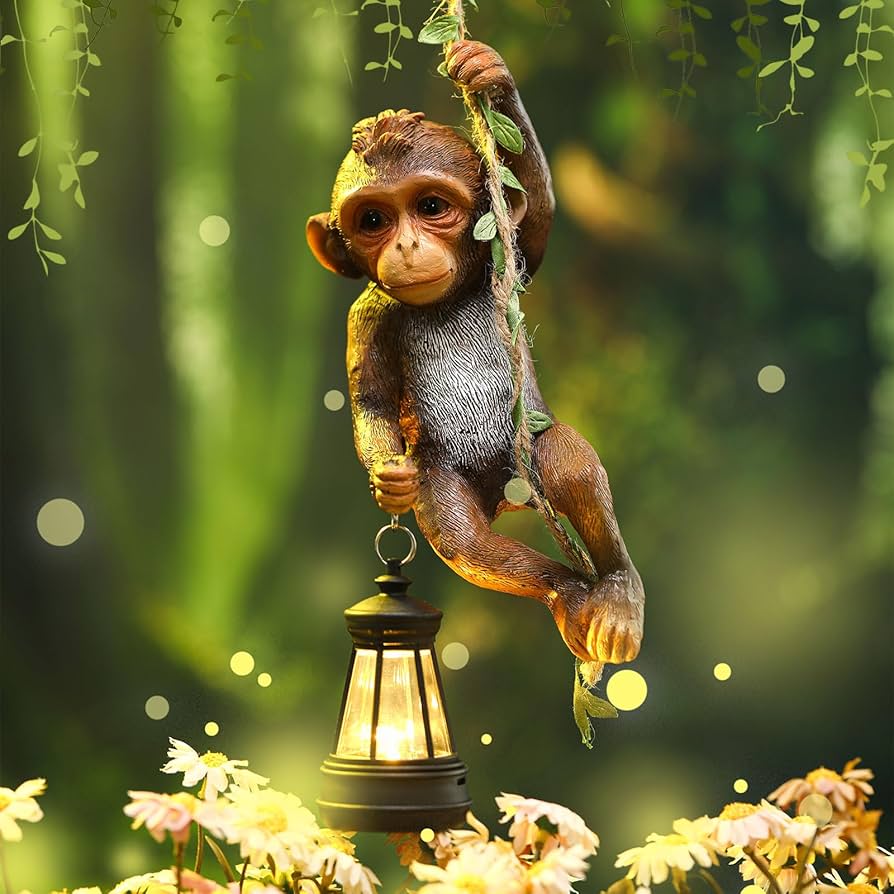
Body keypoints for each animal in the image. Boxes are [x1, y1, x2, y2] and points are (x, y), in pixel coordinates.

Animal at [306, 40, 644, 665]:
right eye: (373, 220)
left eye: (431, 207)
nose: (407, 244)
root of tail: (506, 498)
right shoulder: (366, 319)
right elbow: (371, 402)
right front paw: (388, 477)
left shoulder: (509, 264)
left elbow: (535, 213)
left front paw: (488, 72)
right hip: (449, 478)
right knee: (464, 538)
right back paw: (566, 593)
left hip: (526, 449)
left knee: (569, 460)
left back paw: (614, 594)